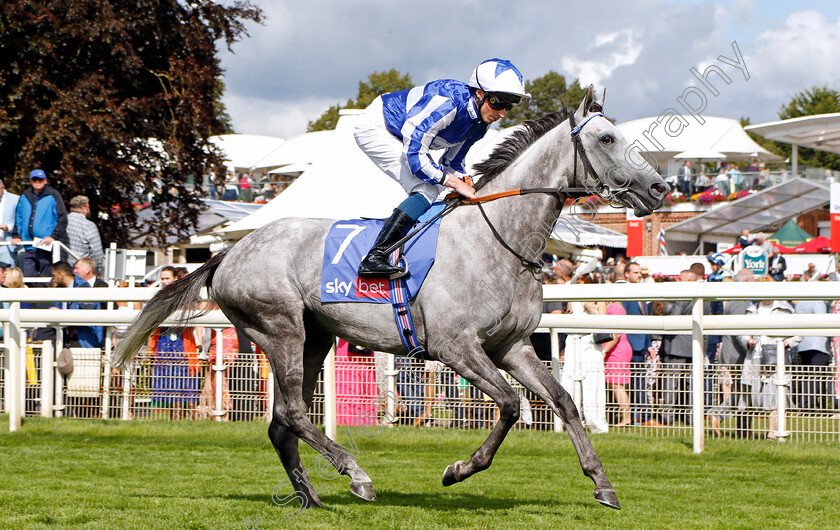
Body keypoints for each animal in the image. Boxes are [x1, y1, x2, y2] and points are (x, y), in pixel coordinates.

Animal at [116, 86, 668, 508]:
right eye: (606, 137)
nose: (660, 188)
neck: (497, 239)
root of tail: (227, 253)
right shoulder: (454, 346)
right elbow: (511, 404)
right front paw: (458, 469)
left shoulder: (510, 346)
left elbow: (564, 402)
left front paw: (602, 484)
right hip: (279, 329)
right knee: (293, 415)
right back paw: (355, 474)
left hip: (314, 336)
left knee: (280, 424)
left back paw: (311, 496)